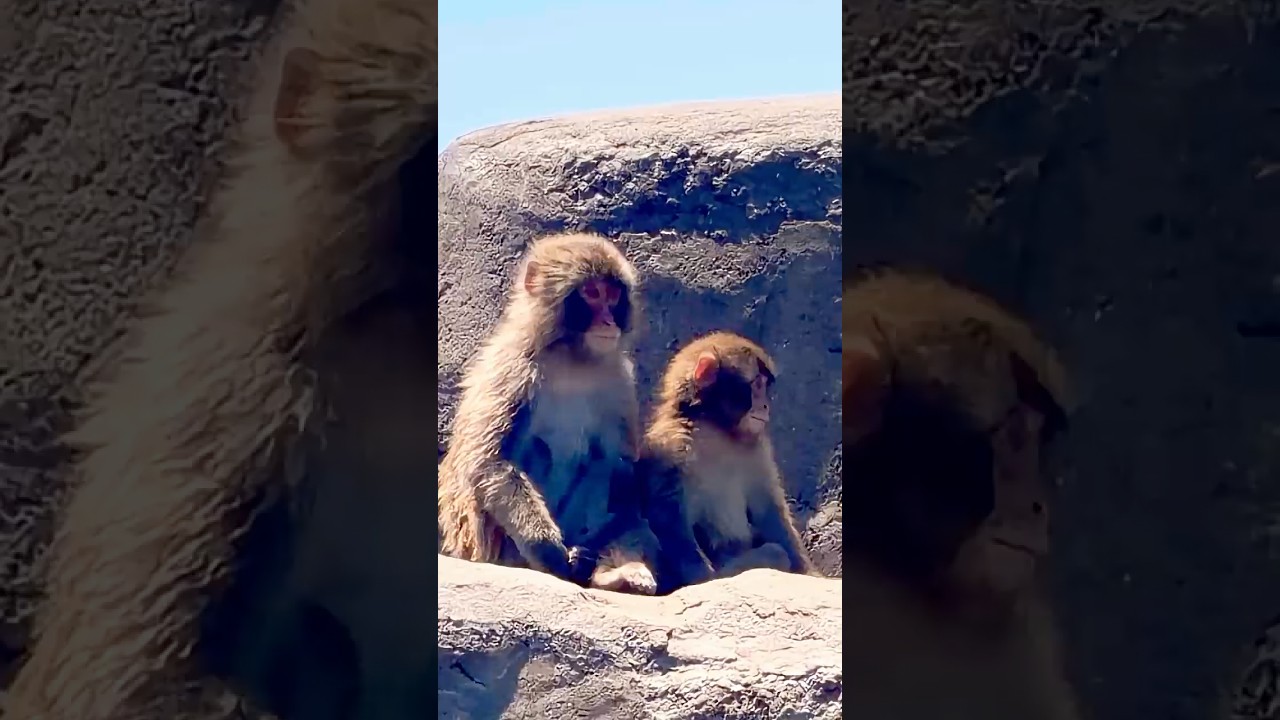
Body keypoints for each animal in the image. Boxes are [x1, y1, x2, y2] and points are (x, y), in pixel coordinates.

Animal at [436, 232, 661, 597]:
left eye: (613, 295)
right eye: (591, 293)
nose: (608, 321)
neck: (572, 356)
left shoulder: (618, 379)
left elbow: (625, 472)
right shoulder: (512, 368)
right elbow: (491, 462)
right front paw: (548, 550)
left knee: (606, 463)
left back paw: (606, 572)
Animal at [639, 331, 815, 595]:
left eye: (764, 386)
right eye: (757, 385)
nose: (765, 406)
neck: (716, 427)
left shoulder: (757, 449)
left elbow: (769, 511)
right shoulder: (670, 446)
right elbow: (667, 513)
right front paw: (702, 578)